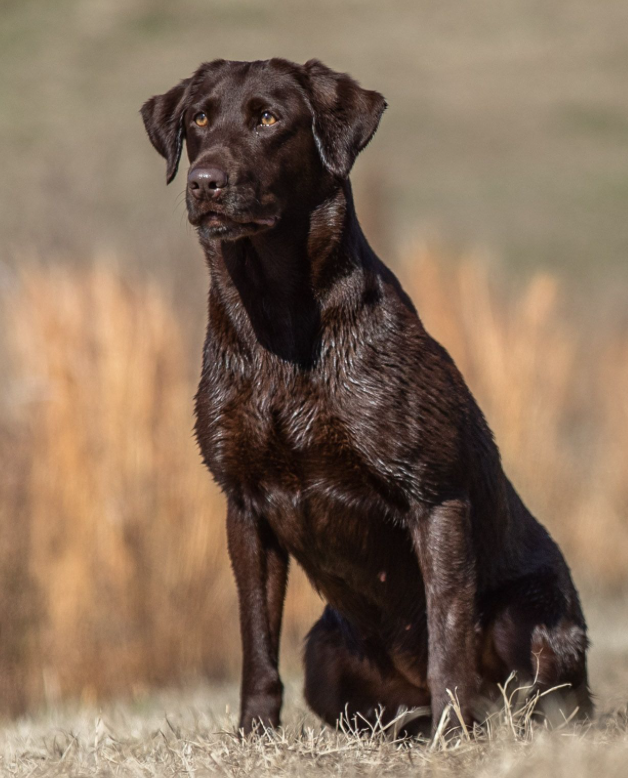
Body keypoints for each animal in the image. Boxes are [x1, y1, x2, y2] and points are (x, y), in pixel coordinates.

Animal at [140, 57, 592, 732]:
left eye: (268, 118)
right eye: (199, 119)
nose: (204, 183)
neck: (281, 325)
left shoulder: (435, 496)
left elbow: (447, 633)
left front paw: (454, 735)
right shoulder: (243, 506)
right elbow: (256, 641)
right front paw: (254, 734)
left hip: (532, 615)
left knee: (537, 699)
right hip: (324, 651)